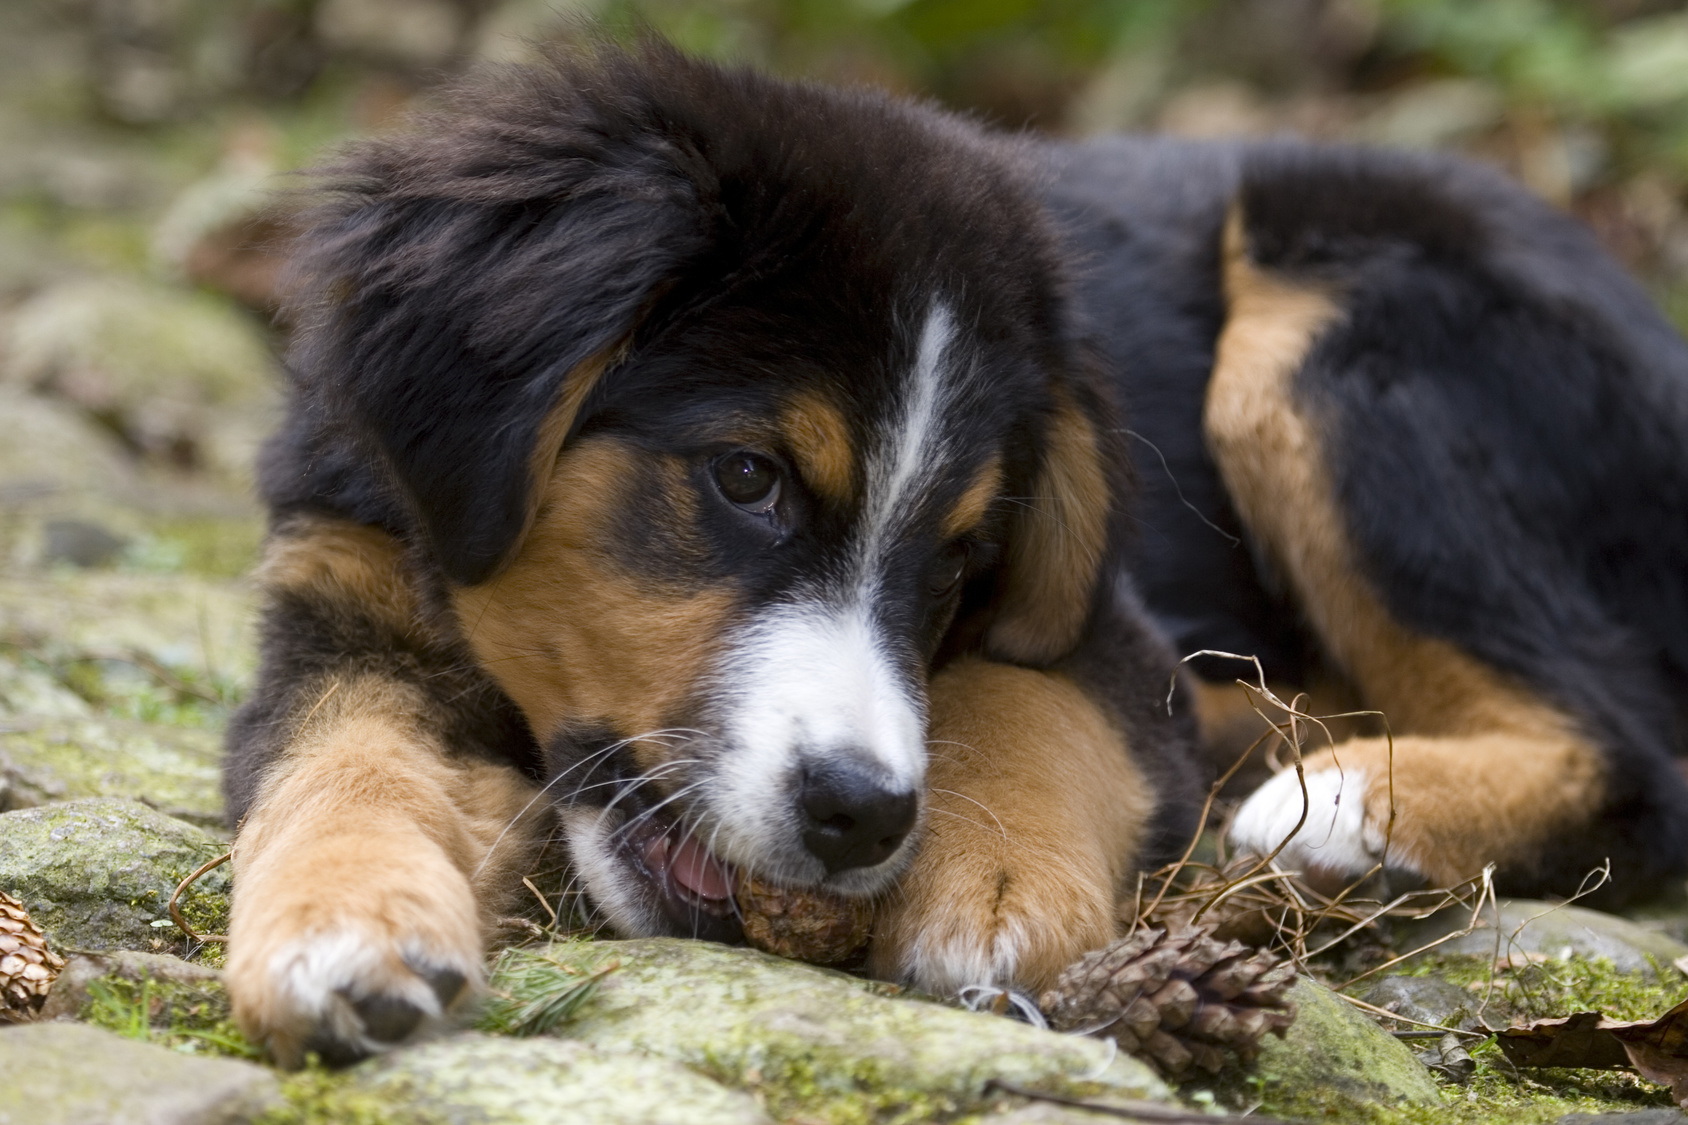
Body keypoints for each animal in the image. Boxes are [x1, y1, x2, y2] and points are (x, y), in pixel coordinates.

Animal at [217, 41, 1688, 1060]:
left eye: (964, 555)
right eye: (745, 477)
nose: (861, 815)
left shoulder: (1108, 627)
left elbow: (1020, 698)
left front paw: (989, 889)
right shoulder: (339, 596)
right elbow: (338, 760)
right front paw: (344, 929)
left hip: (1339, 318)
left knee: (1629, 749)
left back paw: (1346, 810)